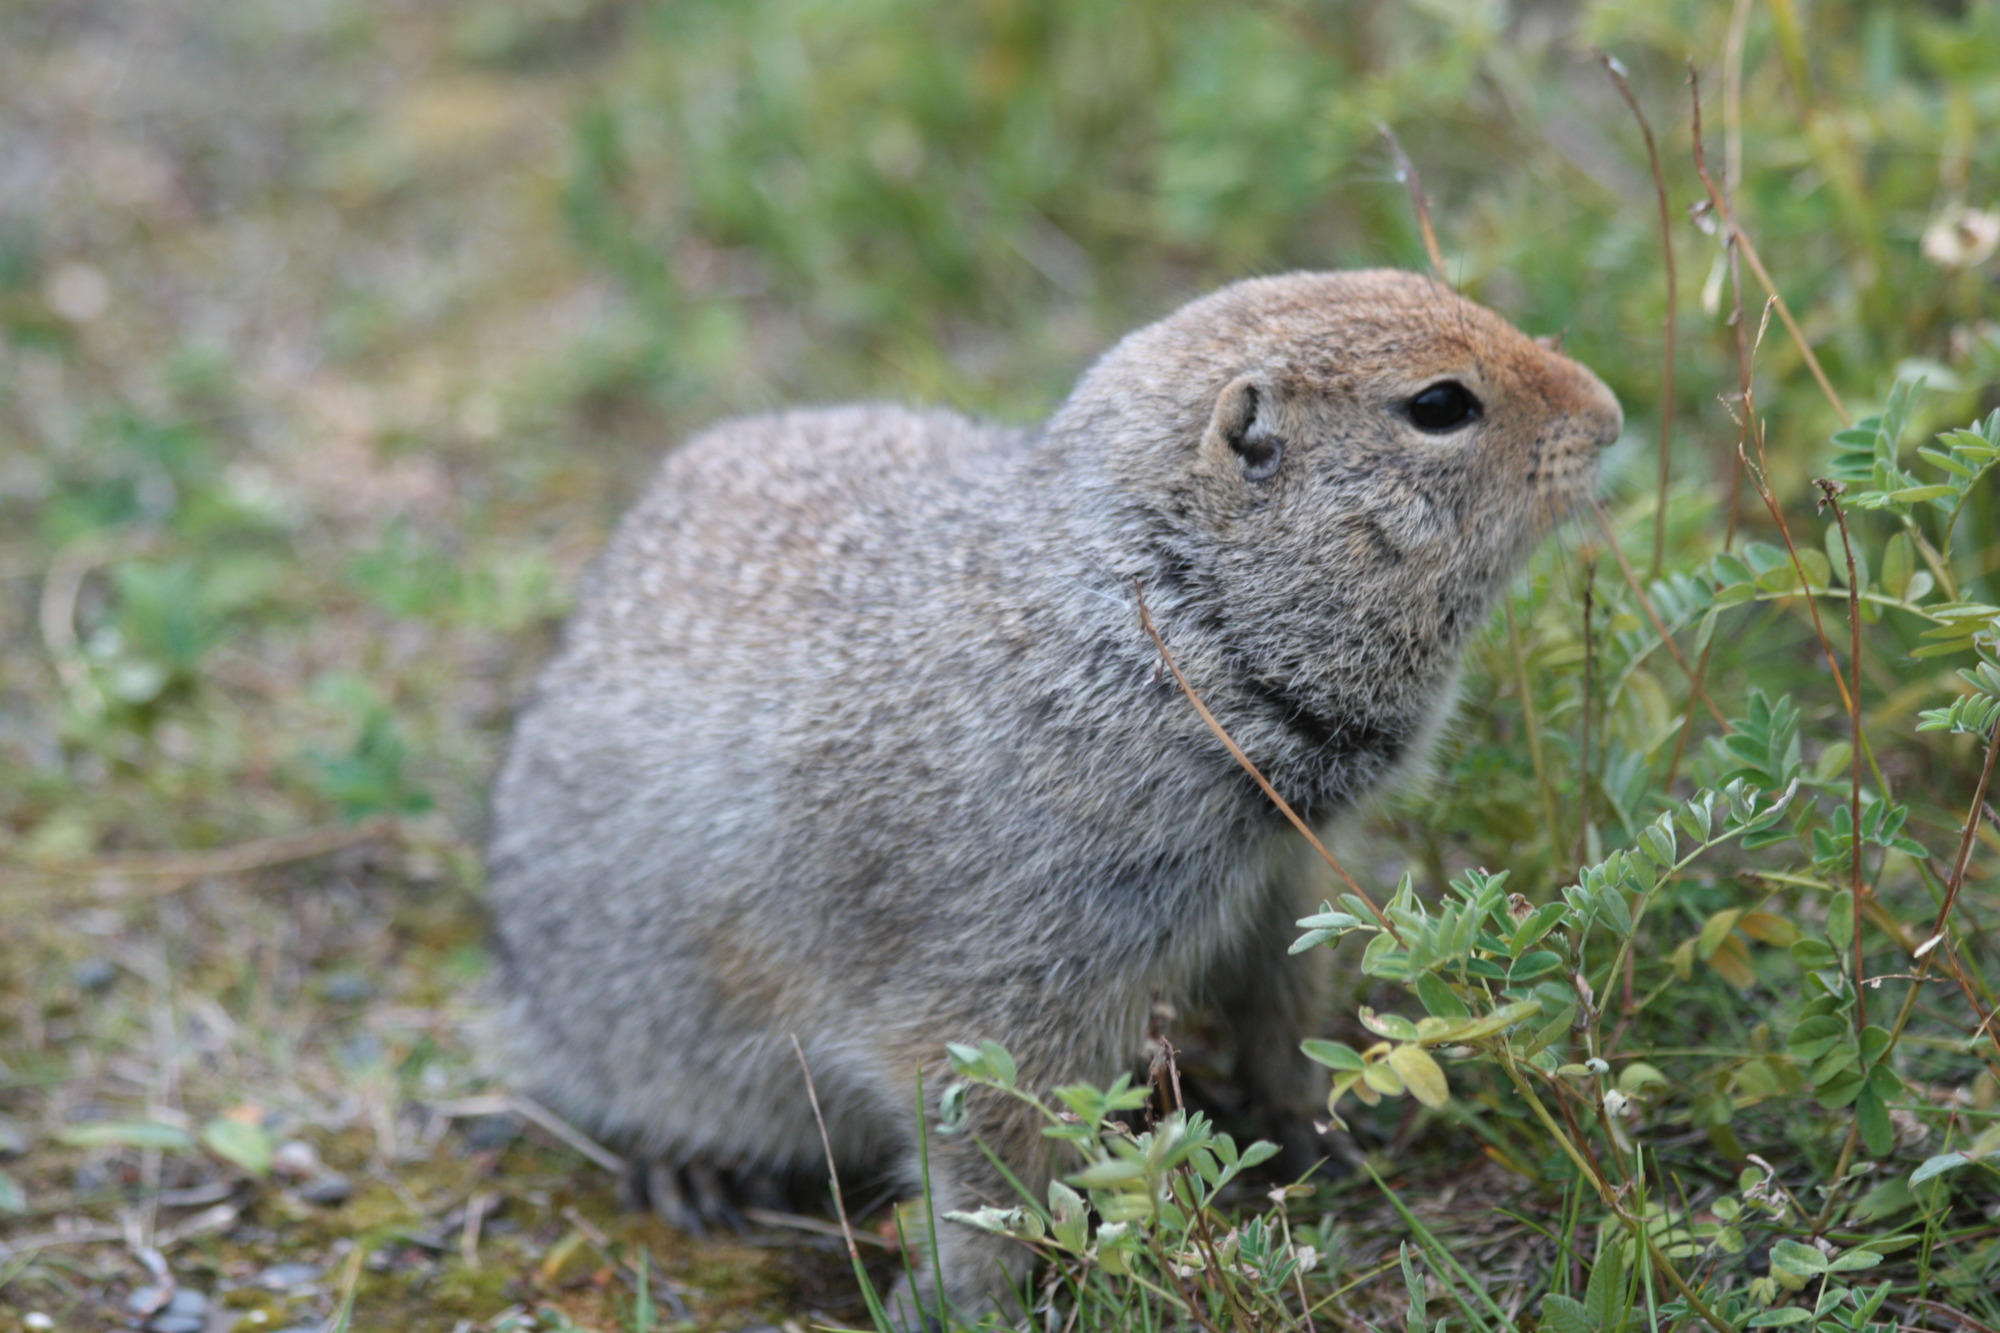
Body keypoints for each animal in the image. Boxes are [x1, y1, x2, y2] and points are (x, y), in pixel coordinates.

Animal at [485, 269, 1622, 1323]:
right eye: (1439, 403)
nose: (1609, 414)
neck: (1169, 617)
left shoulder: (1278, 880)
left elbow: (1281, 1007)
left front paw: (1313, 1134)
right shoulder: (1010, 955)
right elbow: (982, 1129)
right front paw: (961, 1298)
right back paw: (688, 1168)